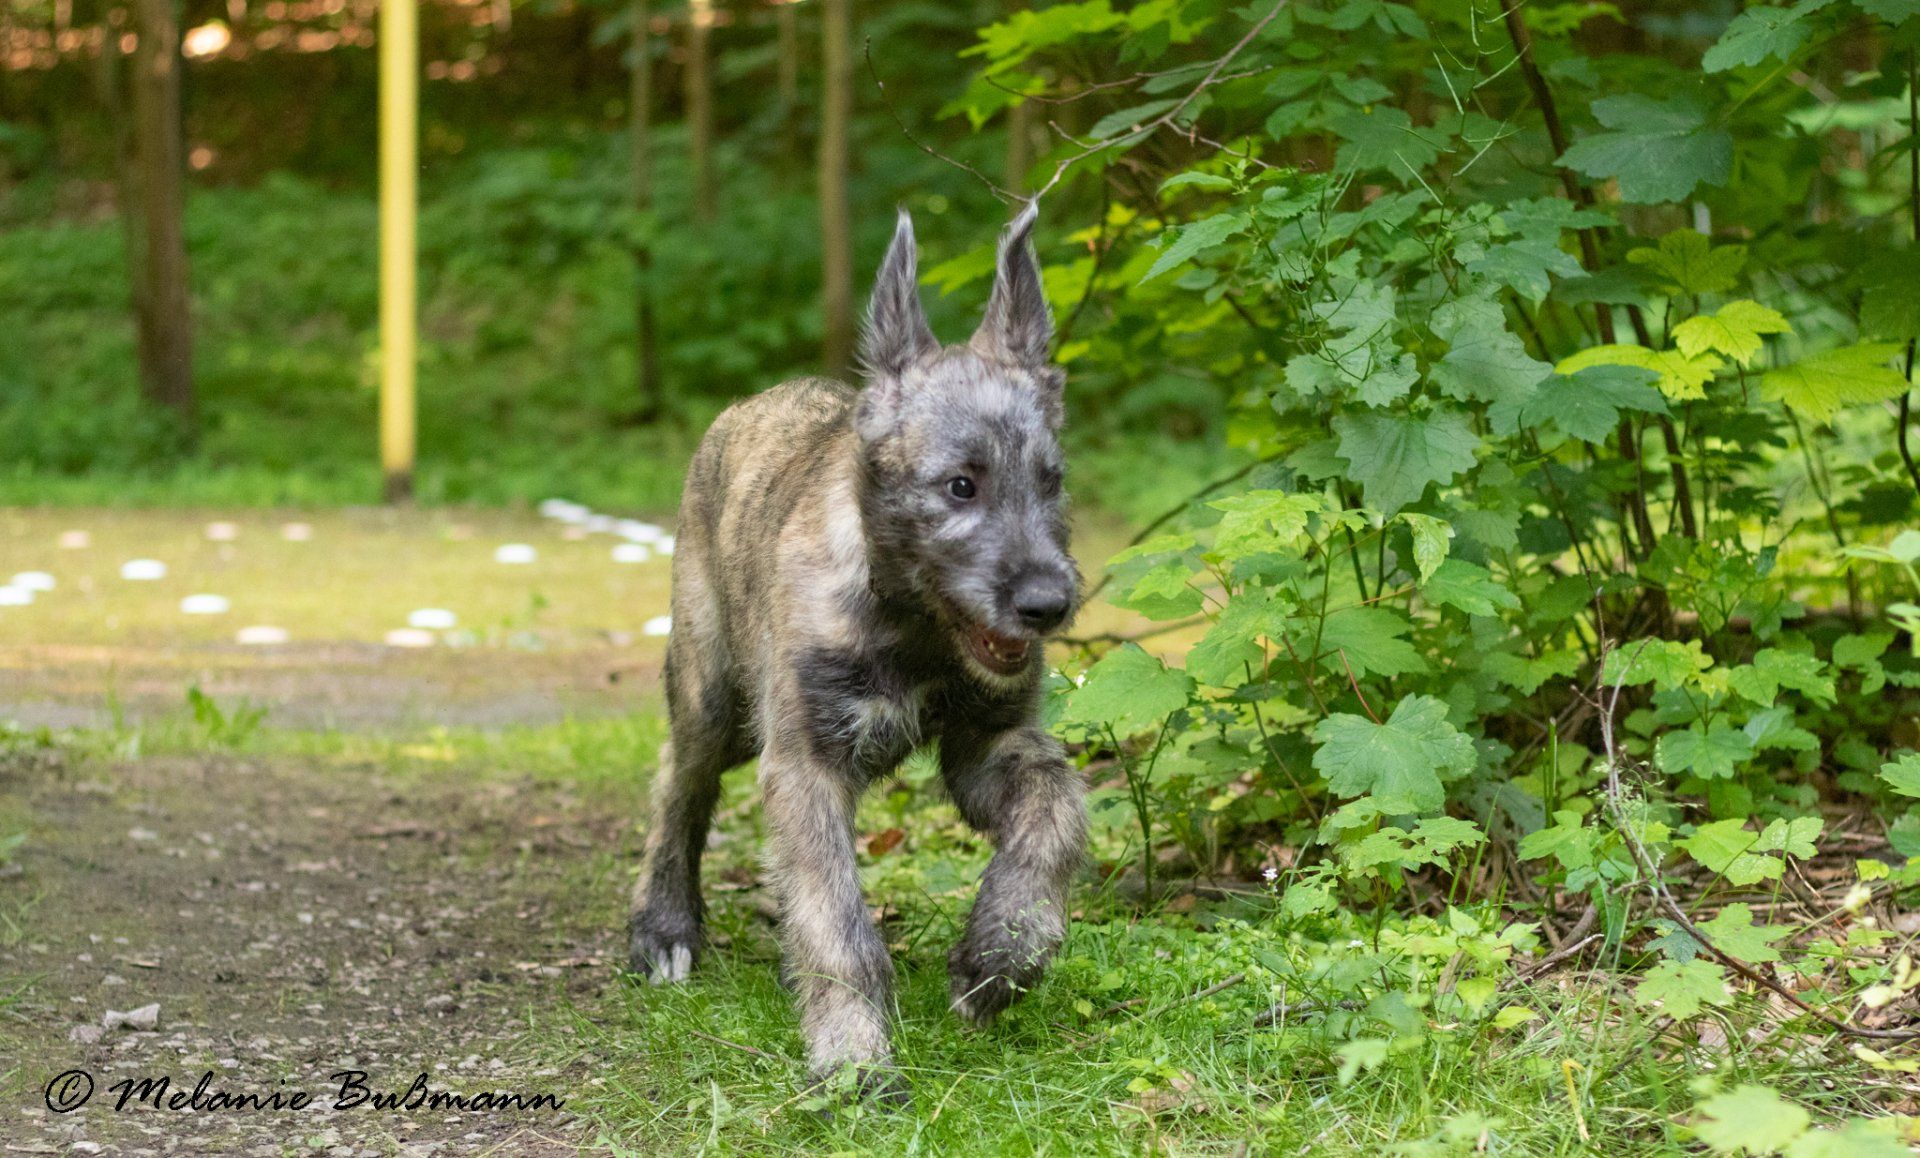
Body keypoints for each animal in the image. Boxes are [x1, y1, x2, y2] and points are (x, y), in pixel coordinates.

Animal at [626, 204, 1086, 1095]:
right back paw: (664, 926)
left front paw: (999, 953)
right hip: (714, 691)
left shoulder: (989, 745)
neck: (916, 626)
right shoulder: (804, 764)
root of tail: (750, 404)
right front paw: (854, 1061)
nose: (1047, 606)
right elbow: (837, 923)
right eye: (960, 486)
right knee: (678, 784)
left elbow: (1057, 812)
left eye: (1050, 481)